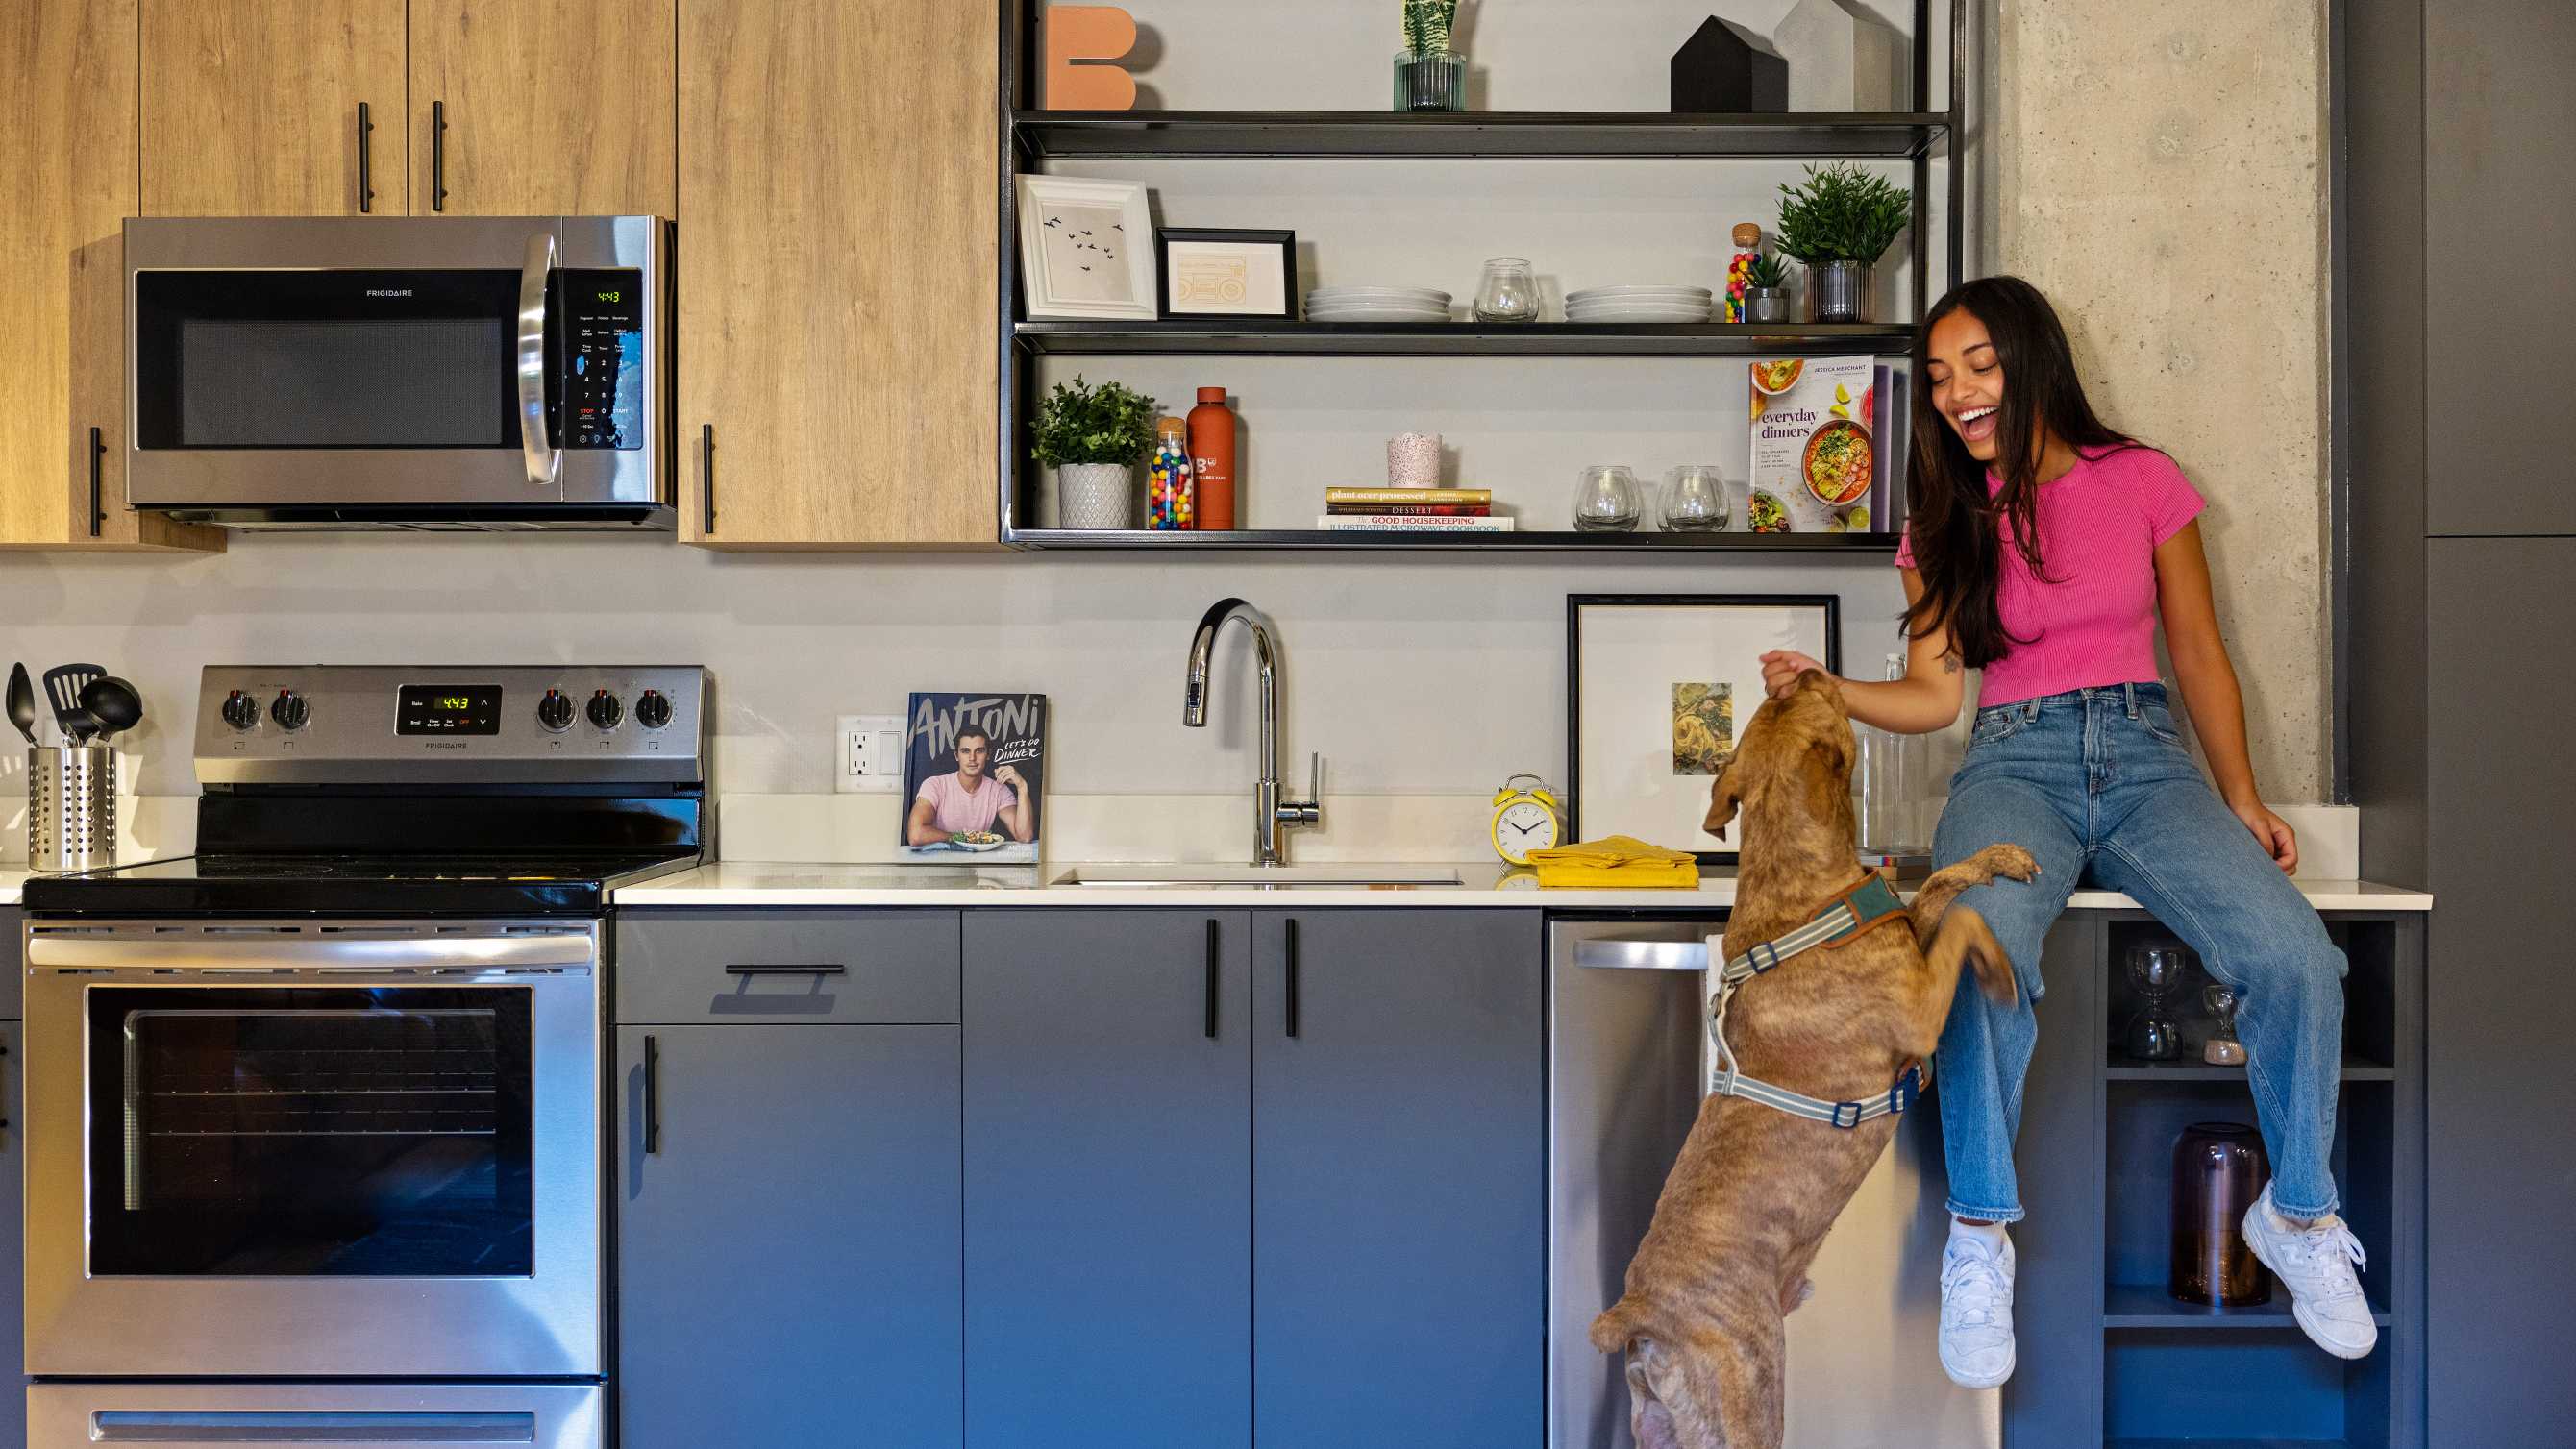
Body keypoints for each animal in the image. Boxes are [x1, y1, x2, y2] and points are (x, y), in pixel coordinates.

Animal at [1576, 674, 2040, 1440]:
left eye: (1777, 702)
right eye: (1813, 696)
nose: (1801, 670)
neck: (1796, 893)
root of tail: (1638, 1316)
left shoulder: (1911, 935)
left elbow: (1941, 883)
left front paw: (1997, 858)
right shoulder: (1921, 1005)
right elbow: (1967, 920)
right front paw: (2001, 972)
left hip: (1661, 1425)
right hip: (1751, 1387)